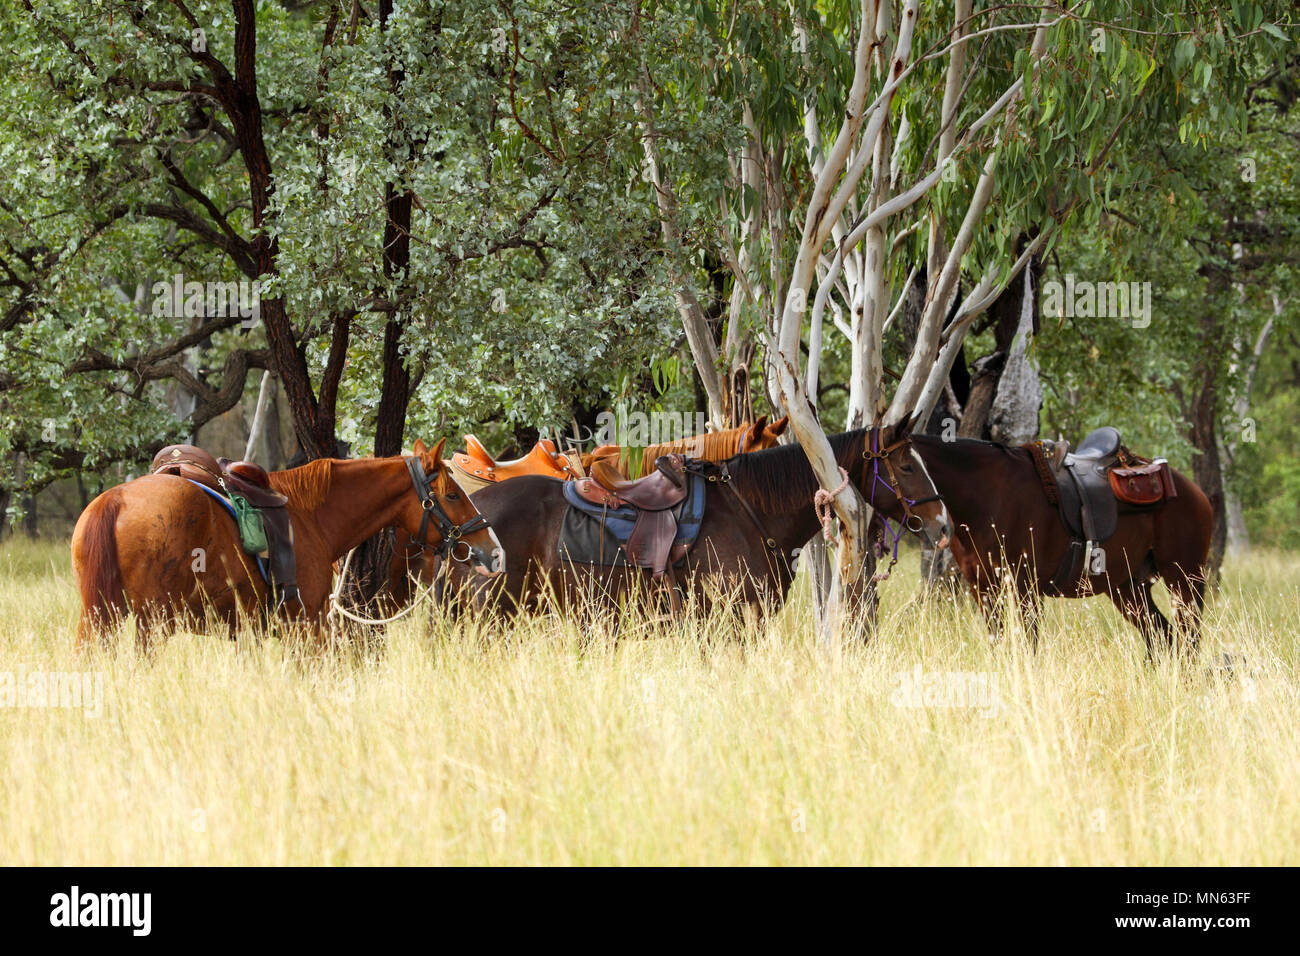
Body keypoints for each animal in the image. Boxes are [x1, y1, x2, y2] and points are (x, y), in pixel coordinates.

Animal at [70, 439, 502, 646]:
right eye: (452, 495)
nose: (494, 552)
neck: (310, 515)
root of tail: (117, 499)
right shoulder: (306, 625)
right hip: (151, 623)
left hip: (99, 618)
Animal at [909, 434, 1213, 656]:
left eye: (906, 468)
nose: (937, 528)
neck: (988, 494)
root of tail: (1195, 493)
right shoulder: (982, 587)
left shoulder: (1025, 587)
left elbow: (1028, 645)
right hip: (1128, 588)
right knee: (1162, 637)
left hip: (1184, 580)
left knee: (1188, 640)